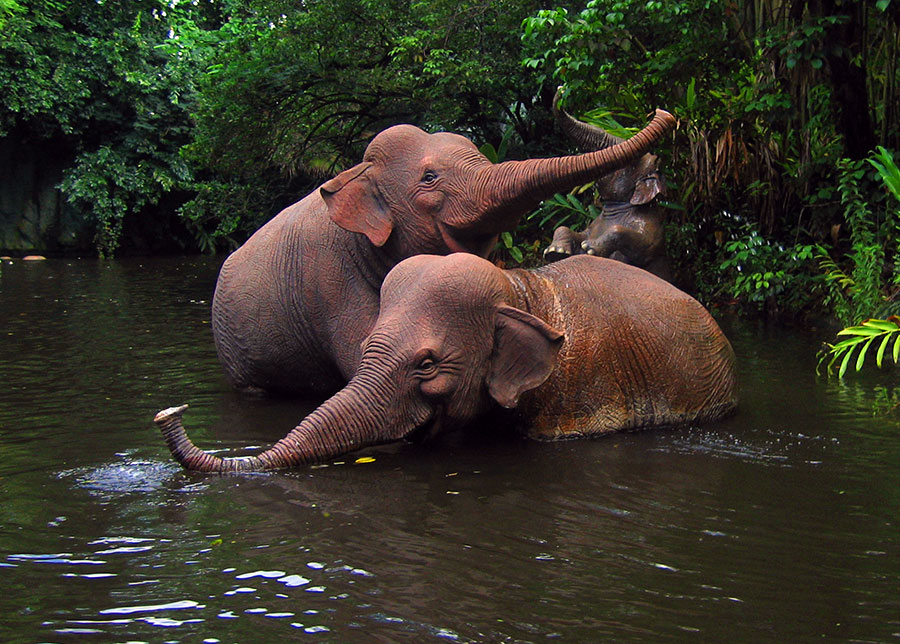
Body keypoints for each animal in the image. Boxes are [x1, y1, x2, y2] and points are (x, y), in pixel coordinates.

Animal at [540, 90, 676, 280]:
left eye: (629, 162)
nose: (561, 91)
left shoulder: (652, 228)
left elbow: (641, 247)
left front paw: (589, 248)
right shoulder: (593, 224)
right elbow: (569, 230)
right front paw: (555, 252)